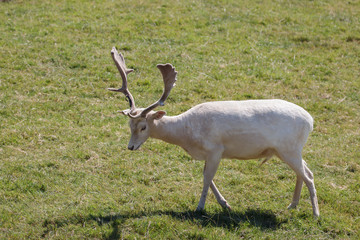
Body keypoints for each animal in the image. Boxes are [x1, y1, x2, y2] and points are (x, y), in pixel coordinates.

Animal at [107, 47, 320, 218]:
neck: (186, 134)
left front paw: (200, 208)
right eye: (129, 125)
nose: (131, 146)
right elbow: (207, 177)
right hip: (288, 151)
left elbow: (206, 178)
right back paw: (292, 205)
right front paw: (226, 204)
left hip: (289, 149)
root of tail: (310, 121)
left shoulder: (216, 149)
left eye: (143, 126)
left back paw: (316, 214)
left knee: (308, 175)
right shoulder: (208, 154)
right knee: (303, 171)